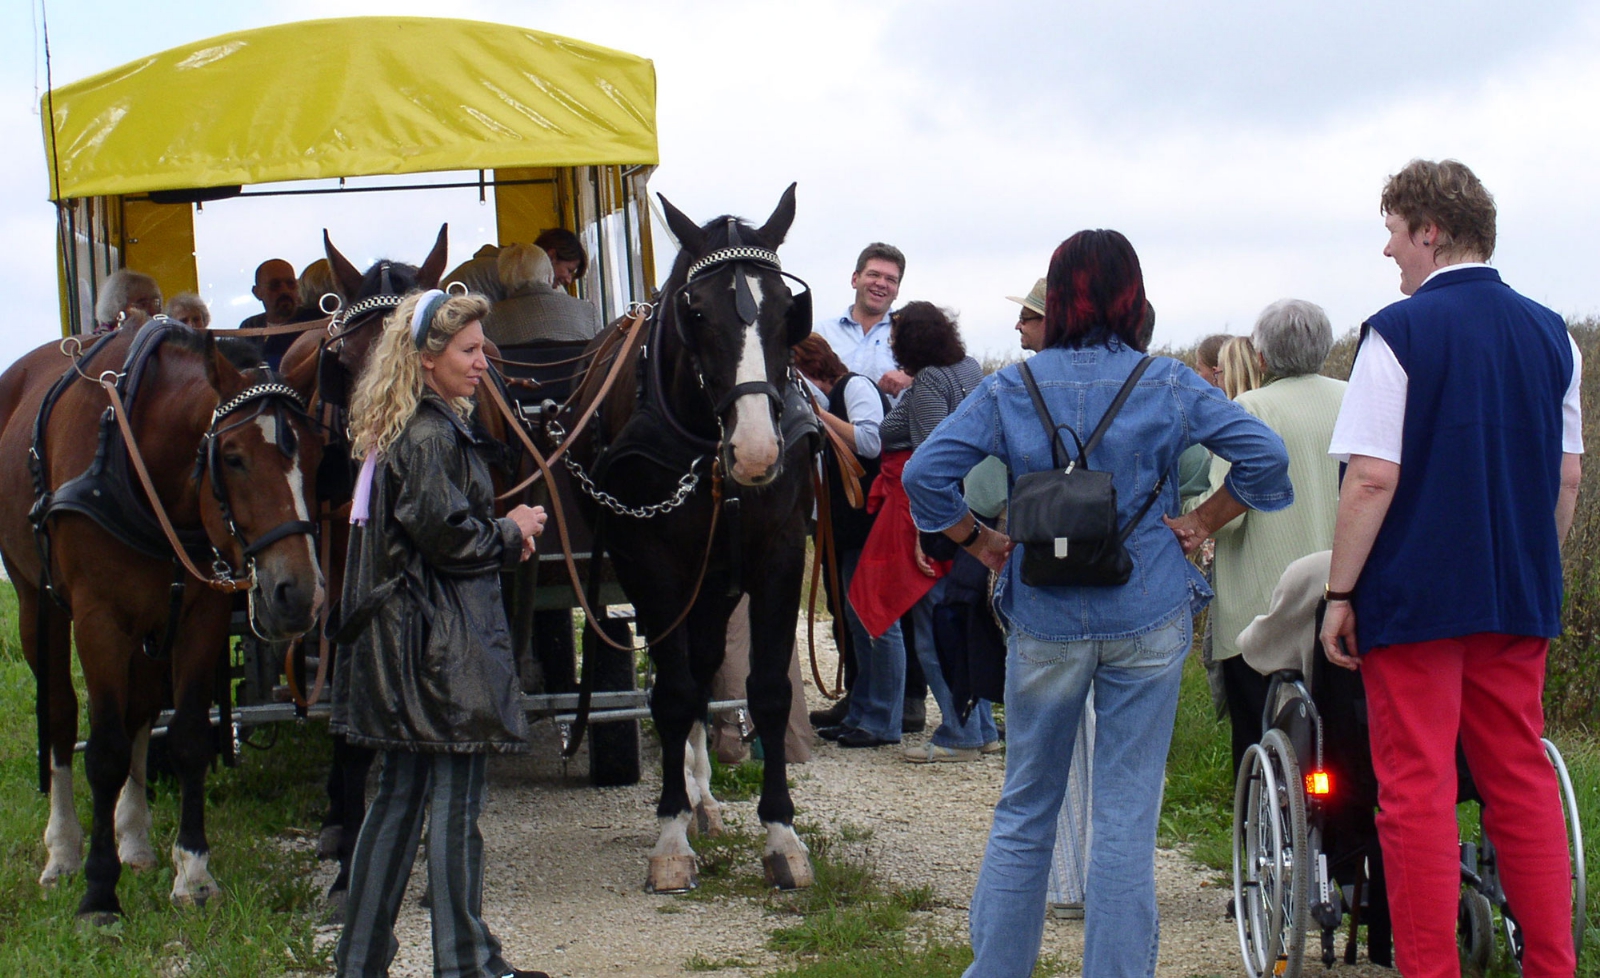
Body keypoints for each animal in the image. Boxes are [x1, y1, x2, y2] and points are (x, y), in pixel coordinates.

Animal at [0, 323, 324, 928]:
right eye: (233, 457)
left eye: (318, 457)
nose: (298, 595)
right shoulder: (98, 619)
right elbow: (102, 750)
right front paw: (99, 895)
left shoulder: (197, 617)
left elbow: (188, 736)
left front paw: (193, 874)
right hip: (39, 606)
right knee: (60, 716)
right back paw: (63, 852)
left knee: (142, 713)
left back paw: (134, 838)